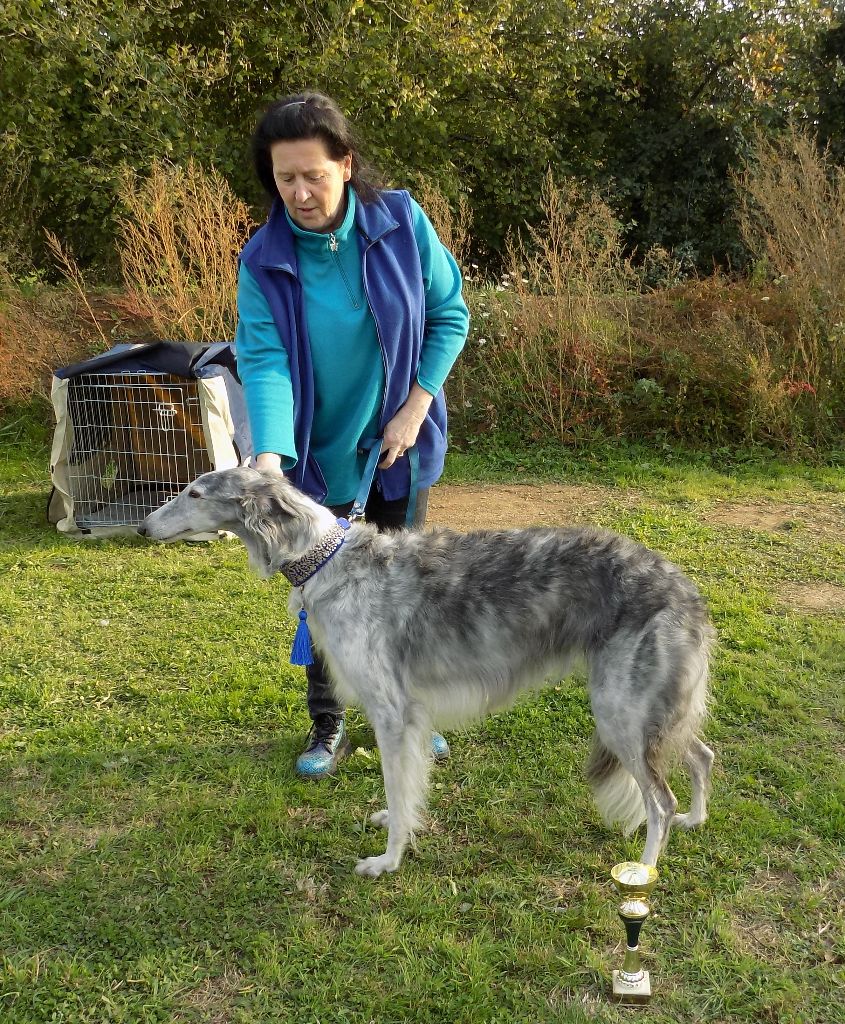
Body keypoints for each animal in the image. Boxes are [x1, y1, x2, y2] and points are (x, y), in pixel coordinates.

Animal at [141, 468, 716, 876]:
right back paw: (694, 818)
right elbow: (403, 792)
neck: (329, 560)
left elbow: (400, 790)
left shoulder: (392, 714)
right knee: (701, 755)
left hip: (620, 714)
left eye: (194, 492)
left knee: (659, 801)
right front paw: (390, 827)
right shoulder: (406, 716)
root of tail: (686, 591)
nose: (144, 526)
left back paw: (643, 870)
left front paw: (387, 860)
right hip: (648, 712)